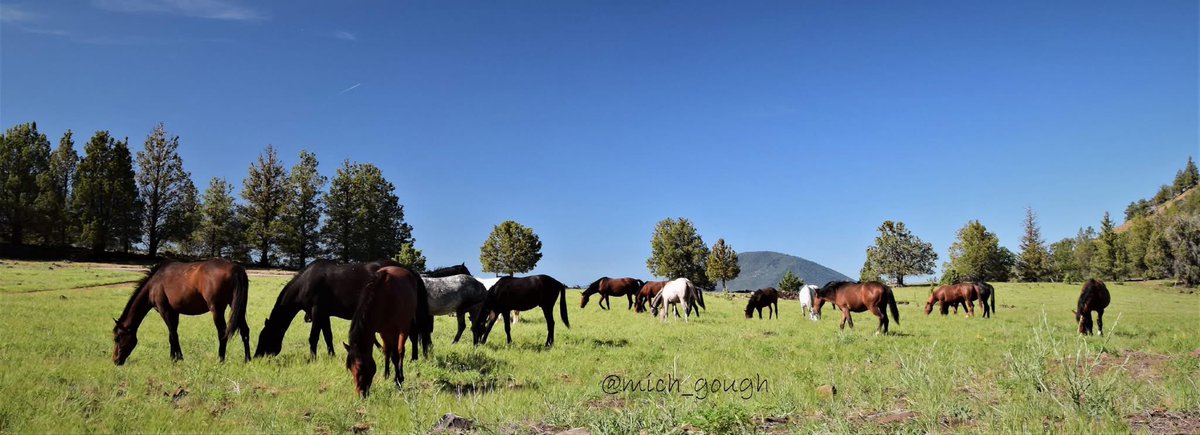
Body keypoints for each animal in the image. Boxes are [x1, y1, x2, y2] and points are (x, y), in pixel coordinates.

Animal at [112, 259, 250, 365]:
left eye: (117, 338)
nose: (115, 361)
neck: (154, 284)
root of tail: (236, 269)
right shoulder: (174, 312)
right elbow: (172, 334)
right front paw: (174, 357)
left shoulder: (164, 310)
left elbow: (173, 334)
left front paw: (178, 358)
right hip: (237, 308)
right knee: (245, 331)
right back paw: (247, 359)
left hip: (217, 309)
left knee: (222, 332)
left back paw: (220, 360)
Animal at [255, 259, 433, 360]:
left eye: (263, 337)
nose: (257, 357)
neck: (306, 282)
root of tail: (410, 271)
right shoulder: (324, 314)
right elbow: (328, 336)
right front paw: (331, 355)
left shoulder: (317, 311)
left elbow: (313, 337)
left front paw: (312, 359)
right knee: (415, 334)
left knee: (414, 334)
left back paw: (414, 358)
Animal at [344, 266, 432, 397]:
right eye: (350, 368)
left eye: (361, 367)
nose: (361, 394)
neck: (383, 296)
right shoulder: (383, 331)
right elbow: (387, 351)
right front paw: (387, 375)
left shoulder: (398, 329)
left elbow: (397, 353)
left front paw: (399, 380)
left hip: (407, 324)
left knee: (406, 344)